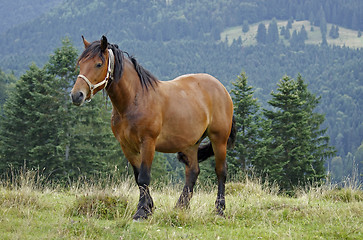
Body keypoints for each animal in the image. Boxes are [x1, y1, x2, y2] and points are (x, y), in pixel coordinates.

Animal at [70, 35, 236, 219]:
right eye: (80, 63)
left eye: (99, 64)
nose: (76, 95)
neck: (135, 100)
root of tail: (222, 89)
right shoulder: (127, 146)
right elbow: (138, 177)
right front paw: (149, 207)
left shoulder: (148, 142)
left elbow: (144, 176)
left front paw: (141, 211)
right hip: (191, 144)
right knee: (192, 172)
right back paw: (181, 207)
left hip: (219, 140)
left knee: (221, 171)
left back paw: (219, 209)